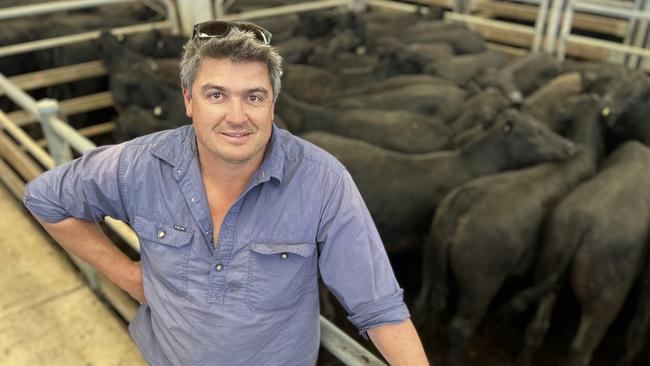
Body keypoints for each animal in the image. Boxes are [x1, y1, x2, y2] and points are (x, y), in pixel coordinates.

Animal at [416, 95, 604, 366]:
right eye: (535, 133)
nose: (569, 145)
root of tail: (461, 203)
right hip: (480, 284)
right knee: (460, 328)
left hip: (433, 259)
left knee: (428, 300)